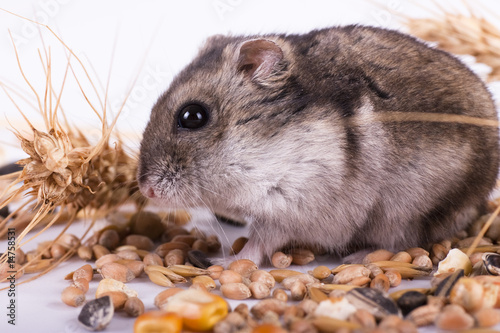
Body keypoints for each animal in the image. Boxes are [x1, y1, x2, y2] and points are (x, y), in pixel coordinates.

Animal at [138, 25, 500, 264]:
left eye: (192, 116)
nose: (146, 190)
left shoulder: (291, 207)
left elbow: (261, 241)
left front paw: (225, 264)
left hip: (408, 214)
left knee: (402, 242)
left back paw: (357, 259)